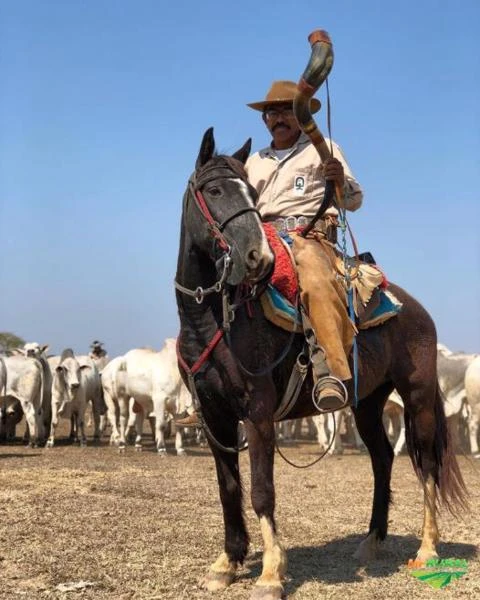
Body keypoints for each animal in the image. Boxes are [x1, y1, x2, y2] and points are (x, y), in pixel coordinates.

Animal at [174, 129, 466, 596]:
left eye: (250, 192)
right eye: (215, 190)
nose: (258, 257)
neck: (215, 320)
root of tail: (414, 308)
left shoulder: (257, 413)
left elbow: (261, 490)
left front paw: (271, 573)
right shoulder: (214, 415)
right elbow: (228, 489)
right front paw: (227, 563)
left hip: (417, 397)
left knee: (426, 466)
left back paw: (427, 549)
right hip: (367, 404)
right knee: (382, 459)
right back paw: (372, 540)